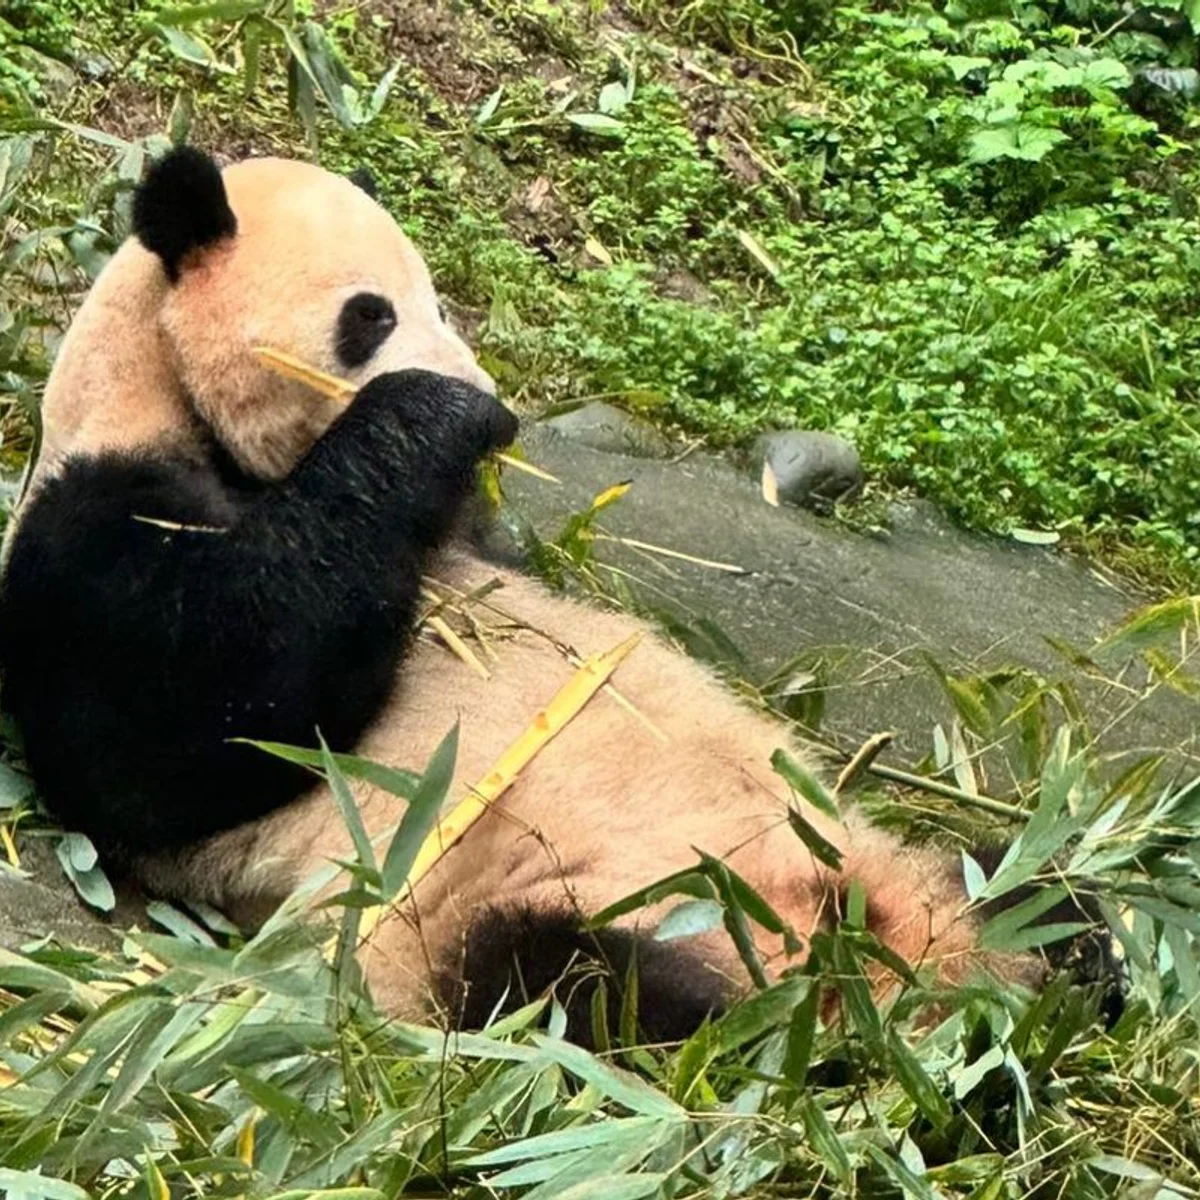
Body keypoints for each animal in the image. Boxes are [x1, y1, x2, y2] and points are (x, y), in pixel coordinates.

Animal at [0, 147, 1112, 1045]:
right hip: (565, 911)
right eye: (371, 315)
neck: (174, 403)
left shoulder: (477, 543)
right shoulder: (92, 524)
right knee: (583, 990)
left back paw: (1057, 962)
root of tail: (915, 959)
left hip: (912, 863)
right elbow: (187, 723)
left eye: (443, 302)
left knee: (1043, 879)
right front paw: (438, 416)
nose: (499, 406)